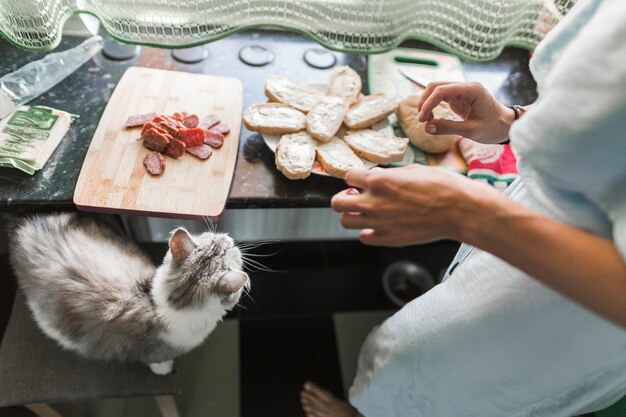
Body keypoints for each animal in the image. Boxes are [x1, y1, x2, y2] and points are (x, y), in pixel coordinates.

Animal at [8, 213, 249, 372]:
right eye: (229, 248)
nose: (229, 237)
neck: (169, 304)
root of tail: (26, 227)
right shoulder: (158, 350)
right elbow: (159, 363)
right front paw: (166, 368)